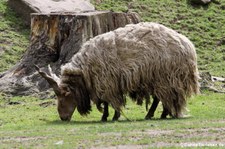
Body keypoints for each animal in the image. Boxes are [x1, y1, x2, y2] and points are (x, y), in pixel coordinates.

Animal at [36, 22, 200, 122]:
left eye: (64, 96)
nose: (63, 117)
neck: (85, 70)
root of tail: (188, 45)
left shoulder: (107, 82)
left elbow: (109, 101)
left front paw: (111, 117)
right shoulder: (106, 83)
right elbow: (108, 102)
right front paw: (108, 116)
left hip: (165, 77)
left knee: (162, 97)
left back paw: (158, 114)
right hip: (160, 78)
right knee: (160, 98)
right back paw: (158, 114)